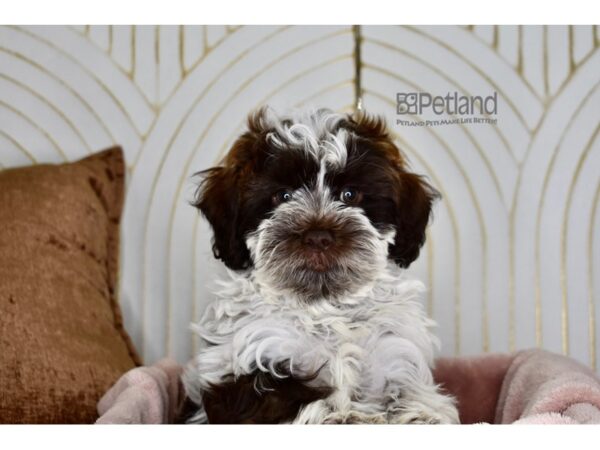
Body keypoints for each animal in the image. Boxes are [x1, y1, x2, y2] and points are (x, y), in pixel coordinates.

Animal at [180, 107, 458, 424]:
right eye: (283, 196)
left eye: (349, 195)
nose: (318, 237)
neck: (325, 308)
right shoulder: (254, 365)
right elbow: (305, 405)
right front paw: (348, 416)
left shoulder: (395, 354)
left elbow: (413, 396)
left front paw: (418, 414)